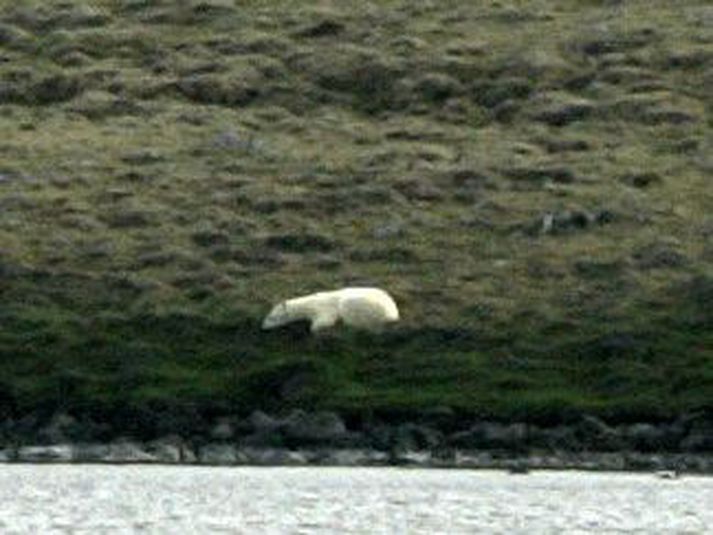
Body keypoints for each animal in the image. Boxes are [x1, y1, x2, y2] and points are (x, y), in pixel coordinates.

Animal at [260, 286, 398, 332]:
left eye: (271, 317)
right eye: (268, 315)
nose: (263, 327)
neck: (310, 303)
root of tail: (392, 313)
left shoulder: (324, 308)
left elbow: (324, 321)